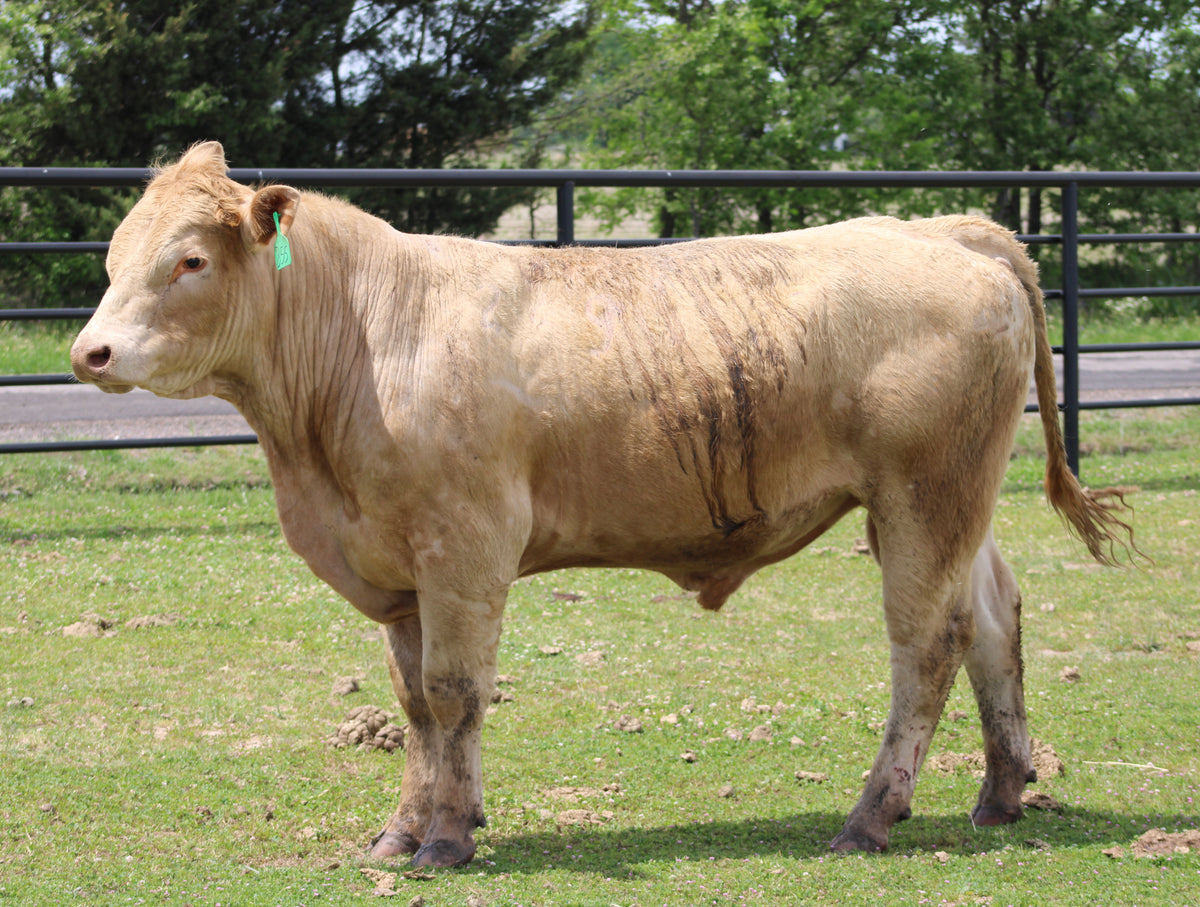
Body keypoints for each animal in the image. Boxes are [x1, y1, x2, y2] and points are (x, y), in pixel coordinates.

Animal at [71, 142, 1134, 868]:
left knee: (927, 644)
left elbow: (456, 693)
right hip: (961, 501)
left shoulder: (466, 546)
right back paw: (1001, 792)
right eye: (115, 254)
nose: (91, 351)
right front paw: (402, 831)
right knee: (993, 618)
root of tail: (941, 228)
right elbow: (413, 705)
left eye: (191, 260)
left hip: (921, 496)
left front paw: (448, 838)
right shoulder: (398, 565)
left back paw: (870, 815)